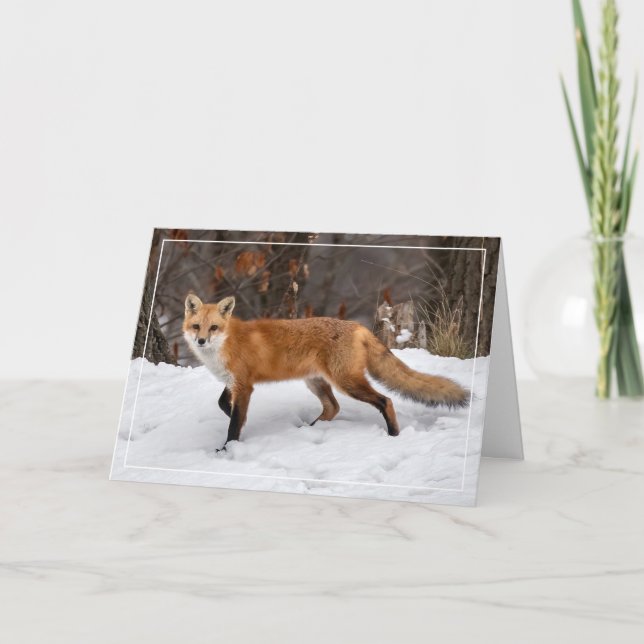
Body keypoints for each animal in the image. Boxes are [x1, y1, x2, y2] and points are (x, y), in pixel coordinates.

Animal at [183, 293, 469, 451]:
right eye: (196, 327)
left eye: (214, 328)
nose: (201, 341)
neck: (226, 343)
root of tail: (357, 326)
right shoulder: (234, 382)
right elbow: (223, 404)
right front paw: (235, 418)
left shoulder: (244, 385)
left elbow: (234, 423)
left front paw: (227, 449)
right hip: (317, 382)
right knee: (333, 408)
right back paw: (309, 430)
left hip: (346, 382)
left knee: (385, 400)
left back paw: (393, 435)